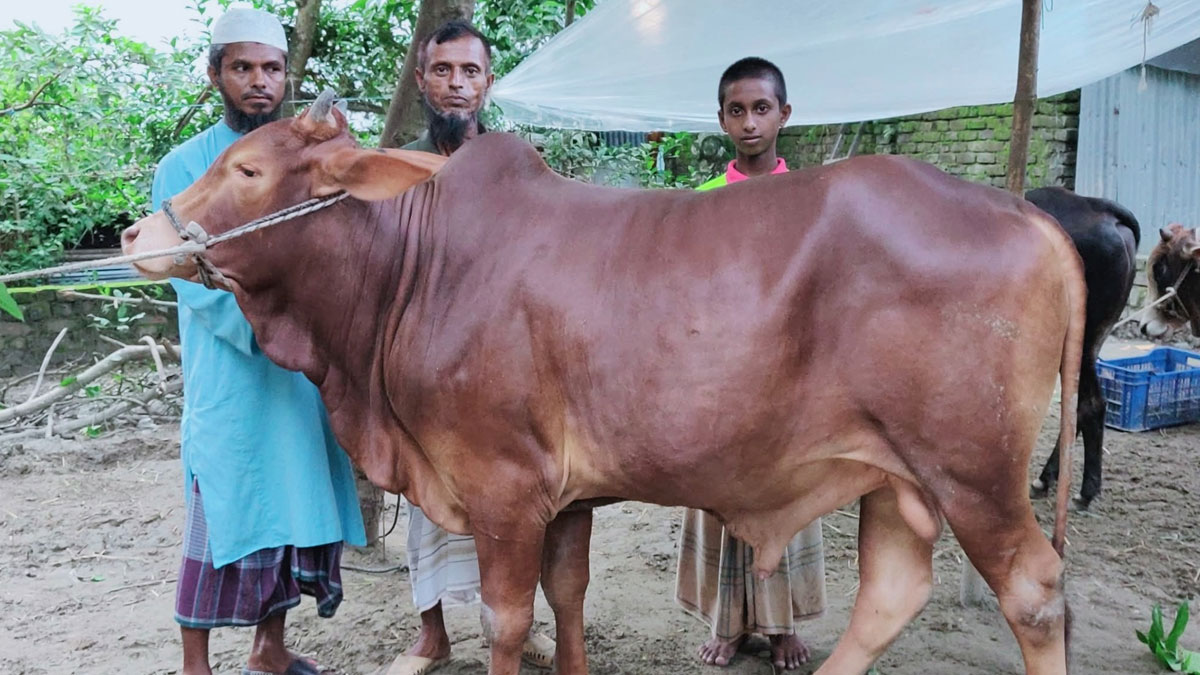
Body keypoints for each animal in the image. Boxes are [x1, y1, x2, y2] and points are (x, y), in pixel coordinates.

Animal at [121, 94, 1084, 675]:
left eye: (248, 170)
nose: (134, 235)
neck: (412, 268)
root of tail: (1027, 215)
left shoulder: (504, 488)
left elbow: (508, 619)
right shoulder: (567, 497)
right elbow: (570, 596)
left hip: (972, 470)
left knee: (1035, 594)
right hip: (895, 472)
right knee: (892, 589)